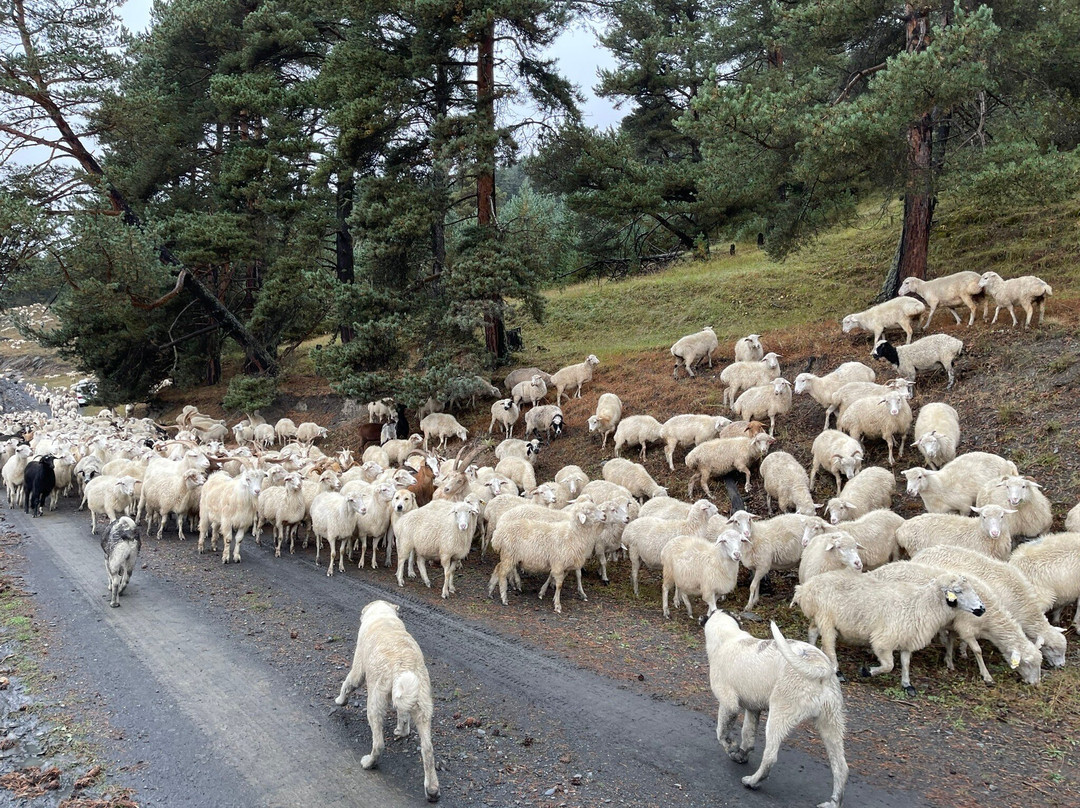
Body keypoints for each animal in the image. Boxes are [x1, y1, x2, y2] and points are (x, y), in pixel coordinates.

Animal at [704, 613, 846, 808]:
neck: (729, 637)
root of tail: (820, 666)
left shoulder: (729, 704)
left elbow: (722, 733)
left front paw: (732, 749)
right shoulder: (753, 710)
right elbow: (747, 734)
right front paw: (741, 754)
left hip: (778, 715)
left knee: (770, 757)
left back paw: (752, 781)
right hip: (831, 724)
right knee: (841, 767)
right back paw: (833, 802)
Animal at [790, 566, 984, 695]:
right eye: (958, 591)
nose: (982, 609)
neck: (920, 605)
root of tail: (805, 588)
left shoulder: (907, 639)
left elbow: (905, 663)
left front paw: (907, 684)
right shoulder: (883, 641)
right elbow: (889, 666)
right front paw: (867, 672)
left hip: (818, 617)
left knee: (812, 632)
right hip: (827, 619)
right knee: (829, 647)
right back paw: (837, 672)